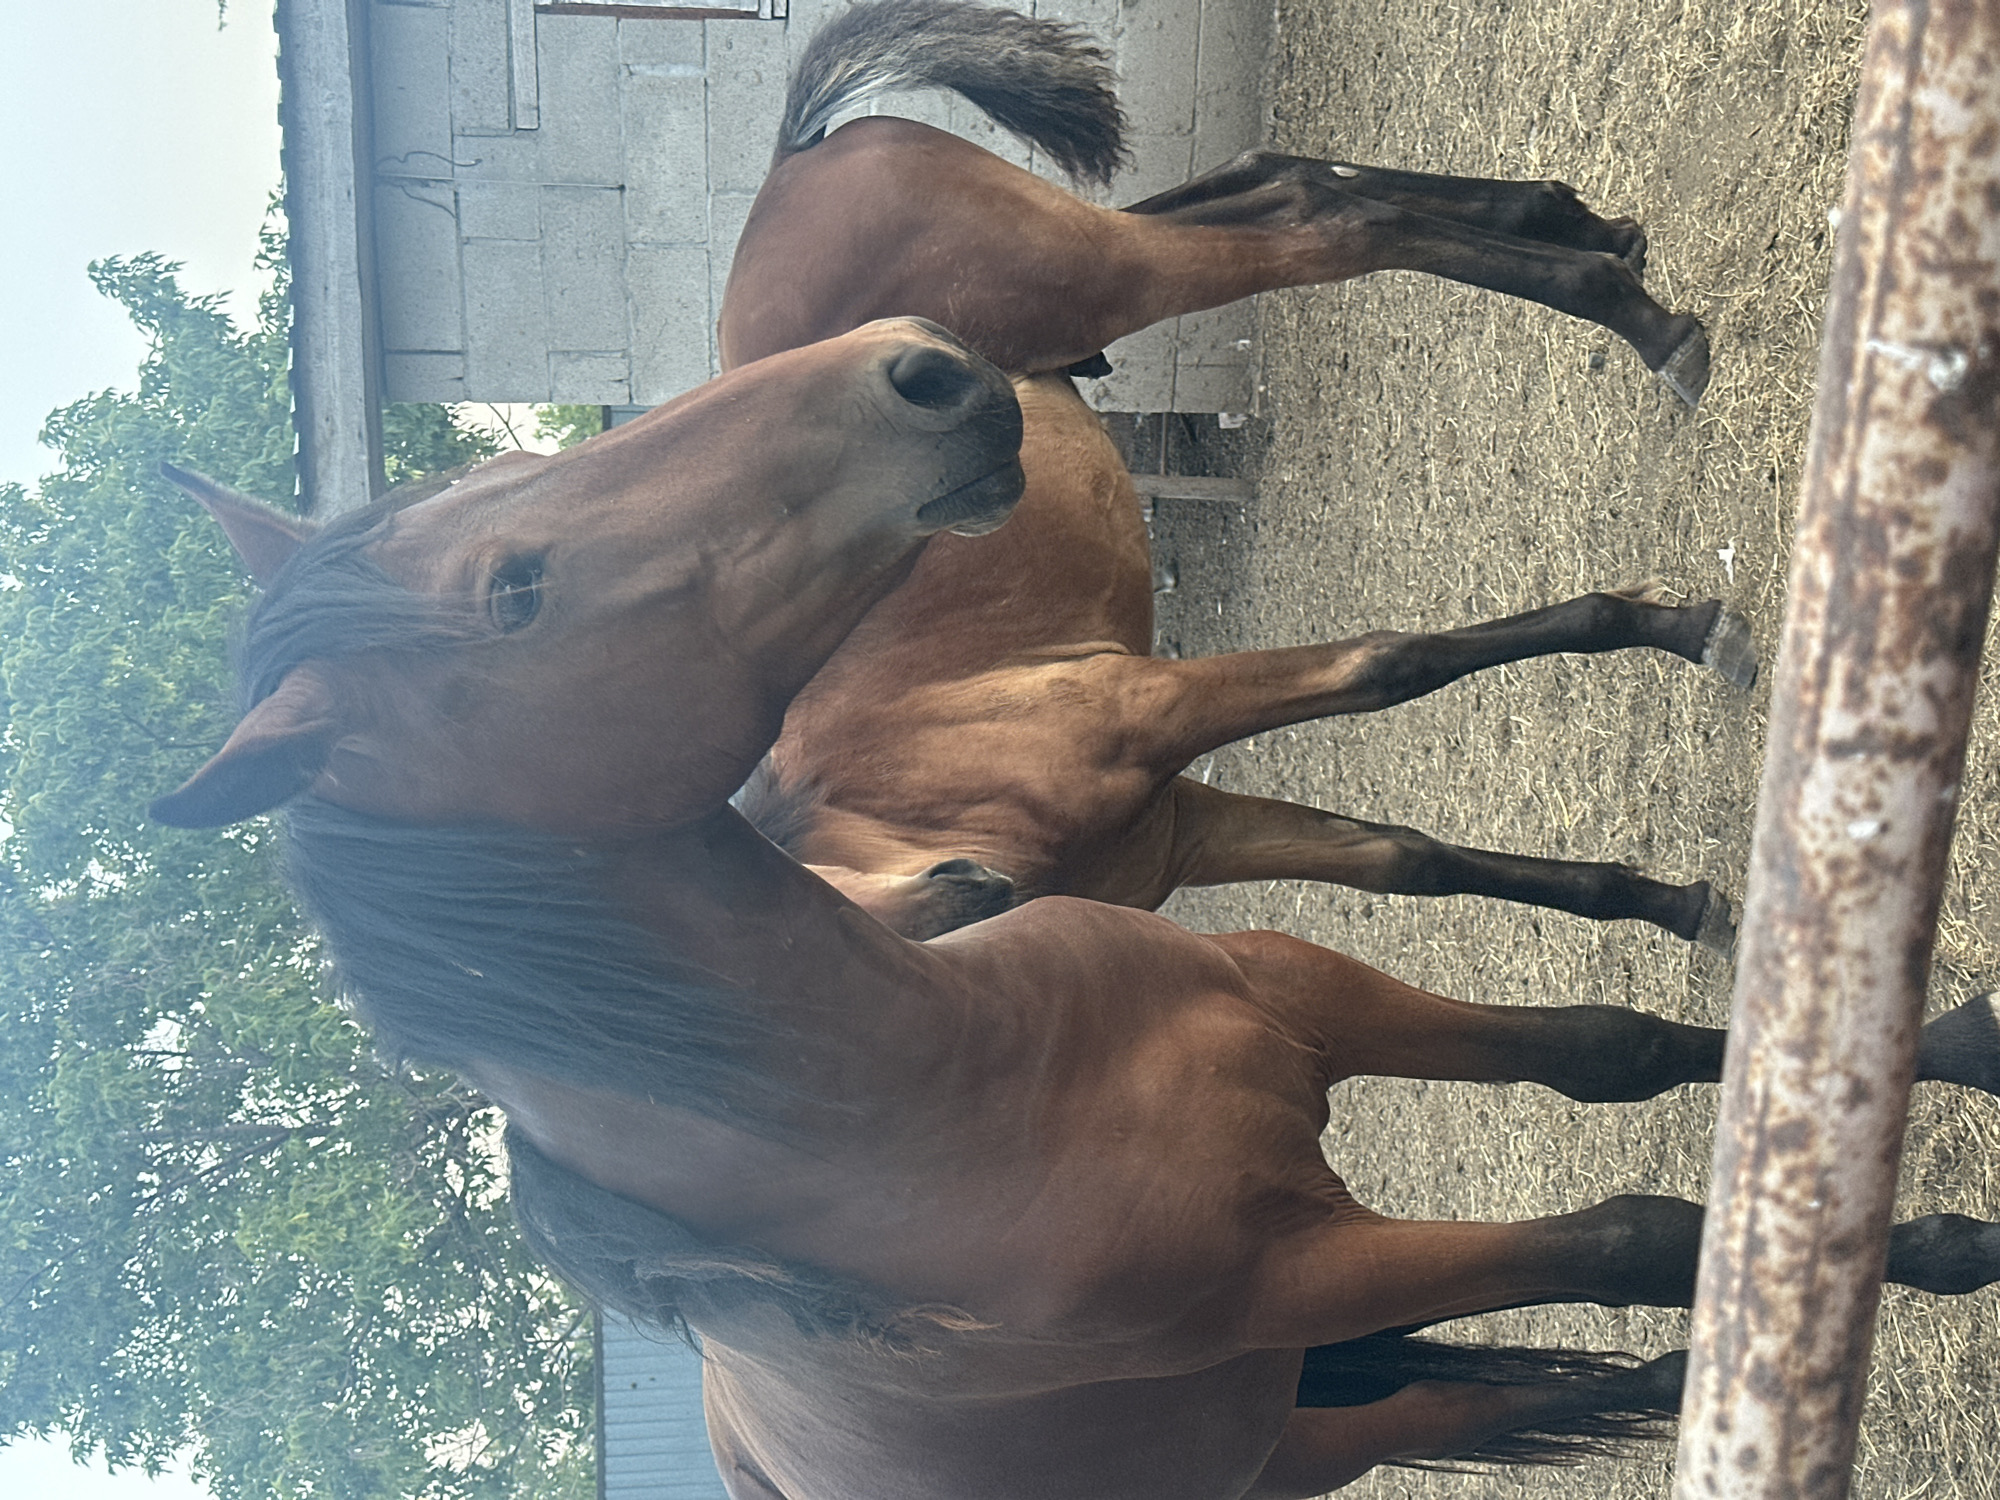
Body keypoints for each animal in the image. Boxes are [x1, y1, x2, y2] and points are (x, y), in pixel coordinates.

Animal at [154, 316, 2000, 1498]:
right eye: (515, 592)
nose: (916, 362)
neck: (964, 1069)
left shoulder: (1285, 976)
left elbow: (1598, 1043)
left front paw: (1934, 1040)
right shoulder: (1306, 1271)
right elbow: (1633, 1235)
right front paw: (1925, 1244)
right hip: (1295, 1421)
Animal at [715, 0, 1750, 949]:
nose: (980, 891)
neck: (899, 791)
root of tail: (790, 168)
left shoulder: (1154, 709)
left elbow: (1389, 663)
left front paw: (1684, 629)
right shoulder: (1185, 828)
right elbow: (1405, 858)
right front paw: (1673, 905)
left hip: (1109, 267)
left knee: (1328, 224)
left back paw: (1642, 318)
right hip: (1101, 263)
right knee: (1279, 178)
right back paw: (1581, 226)